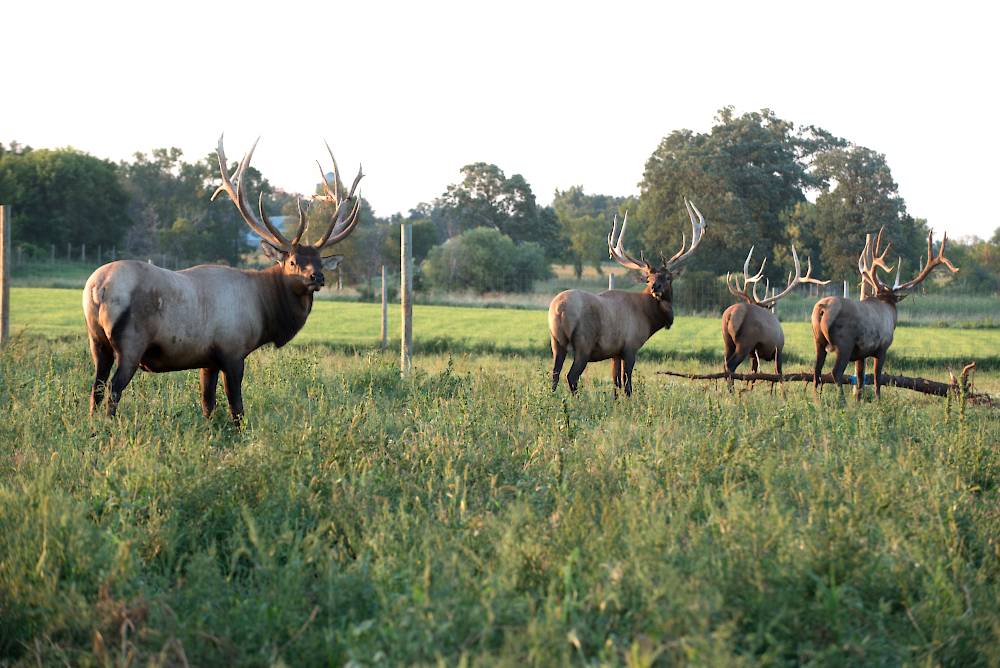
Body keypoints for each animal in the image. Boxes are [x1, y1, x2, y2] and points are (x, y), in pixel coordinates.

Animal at [82, 134, 364, 422]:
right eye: (293, 261)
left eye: (319, 261)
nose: (318, 277)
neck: (265, 310)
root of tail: (98, 287)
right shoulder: (233, 350)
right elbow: (236, 409)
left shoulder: (208, 361)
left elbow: (208, 406)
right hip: (131, 341)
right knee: (113, 389)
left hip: (97, 341)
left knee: (96, 388)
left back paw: (92, 425)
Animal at [552, 198, 708, 396]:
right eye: (648, 278)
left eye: (667, 277)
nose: (655, 287)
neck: (648, 319)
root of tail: (560, 307)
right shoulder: (631, 346)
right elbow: (628, 385)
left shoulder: (615, 352)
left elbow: (615, 383)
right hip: (583, 342)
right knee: (571, 376)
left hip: (556, 342)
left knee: (554, 374)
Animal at [724, 245, 832, 384]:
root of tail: (729, 316)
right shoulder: (779, 348)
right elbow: (779, 375)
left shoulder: (754, 356)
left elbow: (753, 376)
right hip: (745, 343)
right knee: (730, 365)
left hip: (728, 341)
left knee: (725, 364)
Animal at [812, 227, 960, 400]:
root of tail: (821, 308)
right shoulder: (882, 347)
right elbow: (877, 378)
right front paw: (878, 401)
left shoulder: (861, 352)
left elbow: (860, 378)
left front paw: (858, 400)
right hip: (844, 343)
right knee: (836, 372)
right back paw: (841, 401)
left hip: (818, 340)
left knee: (816, 370)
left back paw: (815, 399)